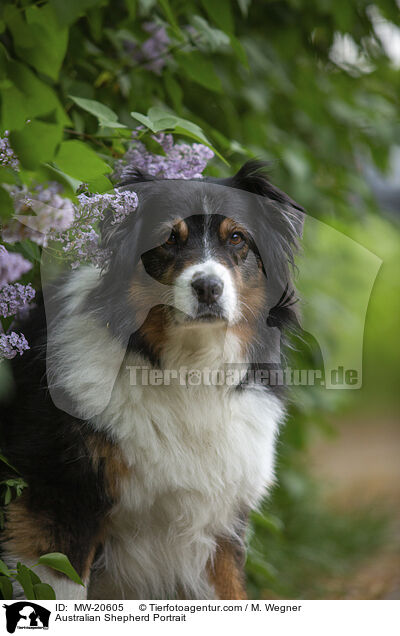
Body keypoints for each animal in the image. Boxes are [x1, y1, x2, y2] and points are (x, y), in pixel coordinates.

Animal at [0, 161, 304, 600]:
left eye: (237, 238)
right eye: (168, 239)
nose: (208, 287)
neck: (186, 370)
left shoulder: (220, 528)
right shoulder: (57, 502)